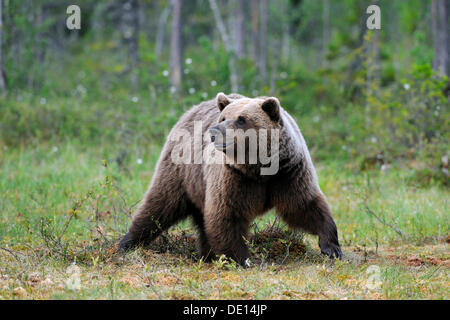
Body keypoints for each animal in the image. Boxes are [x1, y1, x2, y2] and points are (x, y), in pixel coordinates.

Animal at [118, 92, 342, 264]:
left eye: (242, 119)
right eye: (223, 118)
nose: (214, 132)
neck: (259, 169)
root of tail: (189, 111)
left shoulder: (288, 173)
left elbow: (304, 205)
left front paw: (331, 247)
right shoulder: (233, 177)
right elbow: (227, 214)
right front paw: (240, 259)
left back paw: (207, 254)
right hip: (181, 172)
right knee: (159, 206)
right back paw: (127, 244)